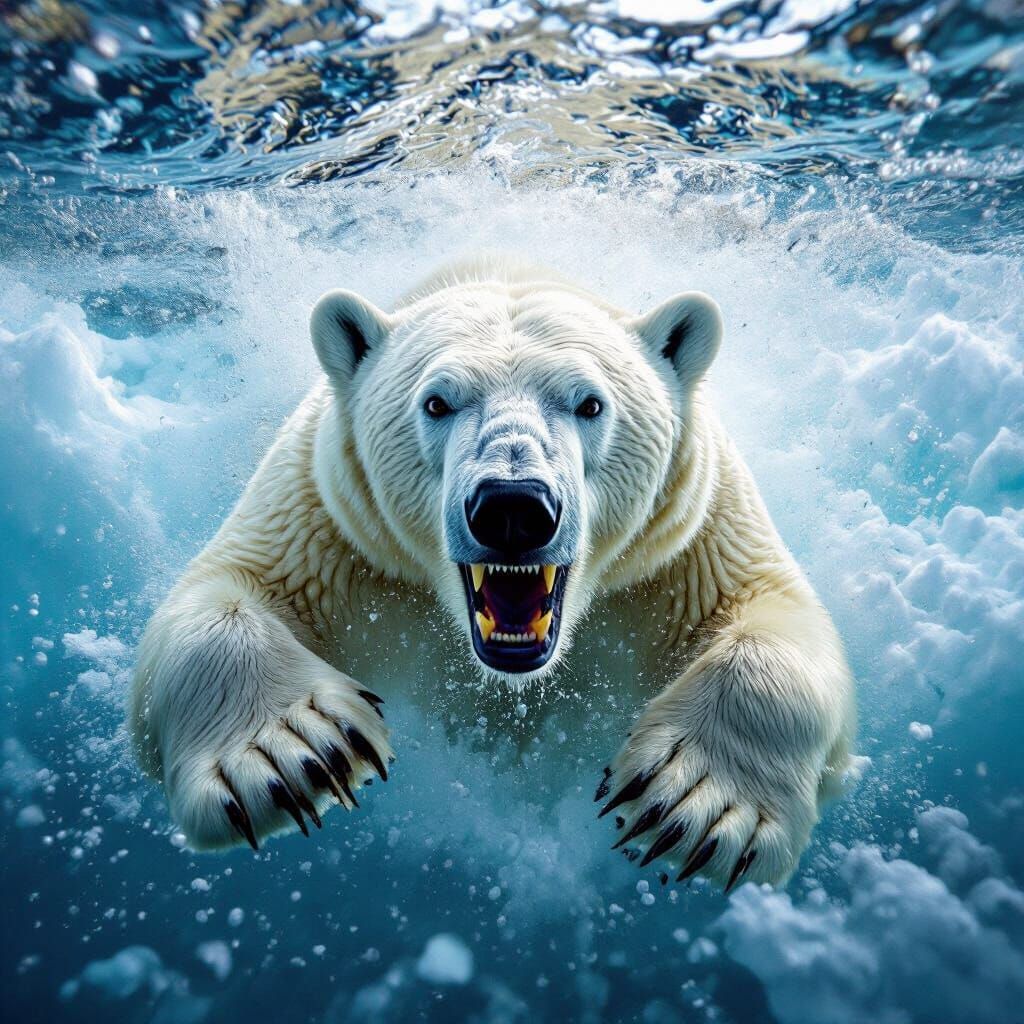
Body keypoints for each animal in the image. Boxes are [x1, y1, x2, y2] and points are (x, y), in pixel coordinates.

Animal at [129, 256, 856, 891]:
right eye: (436, 402)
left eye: (590, 404)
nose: (513, 508)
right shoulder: (332, 519)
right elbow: (221, 596)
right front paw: (290, 756)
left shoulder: (685, 540)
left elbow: (775, 616)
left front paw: (698, 804)